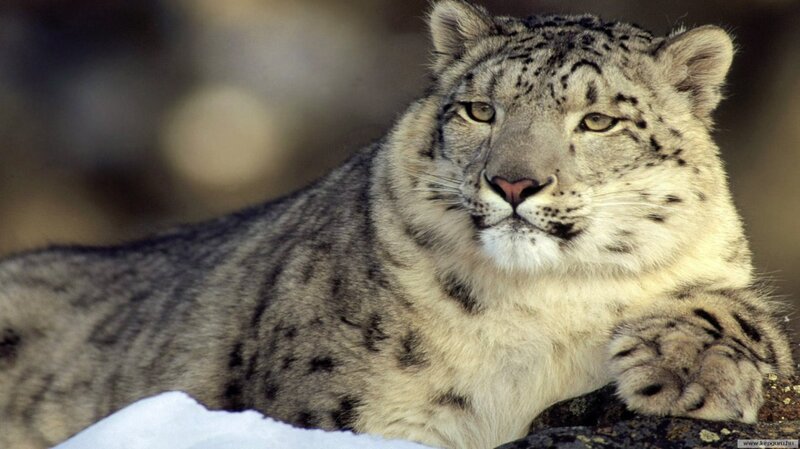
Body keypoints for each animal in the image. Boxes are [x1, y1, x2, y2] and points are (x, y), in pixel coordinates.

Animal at [0, 2, 794, 449]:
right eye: (480, 109)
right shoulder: (356, 414)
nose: (513, 182)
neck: (547, 307)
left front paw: (685, 371)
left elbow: (747, 314)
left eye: (598, 120)